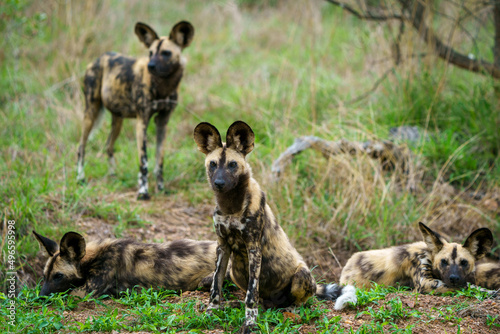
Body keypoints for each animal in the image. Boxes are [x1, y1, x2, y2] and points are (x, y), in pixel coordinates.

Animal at [77, 20, 194, 200]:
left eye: (166, 53)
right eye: (150, 53)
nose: (151, 66)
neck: (164, 86)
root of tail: (98, 58)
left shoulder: (162, 122)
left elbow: (159, 161)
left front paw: (161, 188)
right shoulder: (142, 122)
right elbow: (144, 162)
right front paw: (143, 191)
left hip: (118, 120)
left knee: (108, 146)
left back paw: (113, 175)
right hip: (91, 112)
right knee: (81, 147)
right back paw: (80, 178)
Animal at [193, 120, 358, 332]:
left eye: (232, 164)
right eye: (213, 164)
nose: (219, 183)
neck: (231, 207)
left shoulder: (254, 249)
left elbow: (251, 295)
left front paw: (250, 323)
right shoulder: (222, 247)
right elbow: (216, 285)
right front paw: (211, 311)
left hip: (301, 275)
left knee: (298, 301)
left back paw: (291, 310)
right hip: (236, 271)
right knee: (260, 300)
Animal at [338, 223, 498, 294]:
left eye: (464, 263)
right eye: (444, 262)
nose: (453, 278)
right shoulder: (424, 282)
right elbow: (467, 286)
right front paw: (489, 292)